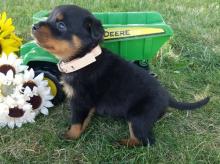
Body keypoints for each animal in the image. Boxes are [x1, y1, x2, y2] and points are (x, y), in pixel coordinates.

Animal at [31, 4, 210, 146]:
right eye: (49, 17)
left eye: (61, 25)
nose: (33, 26)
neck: (84, 59)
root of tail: (167, 97)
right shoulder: (87, 104)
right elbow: (84, 119)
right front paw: (80, 131)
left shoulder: (80, 101)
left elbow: (75, 121)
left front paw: (70, 136)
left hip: (138, 117)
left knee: (145, 140)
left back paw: (120, 143)